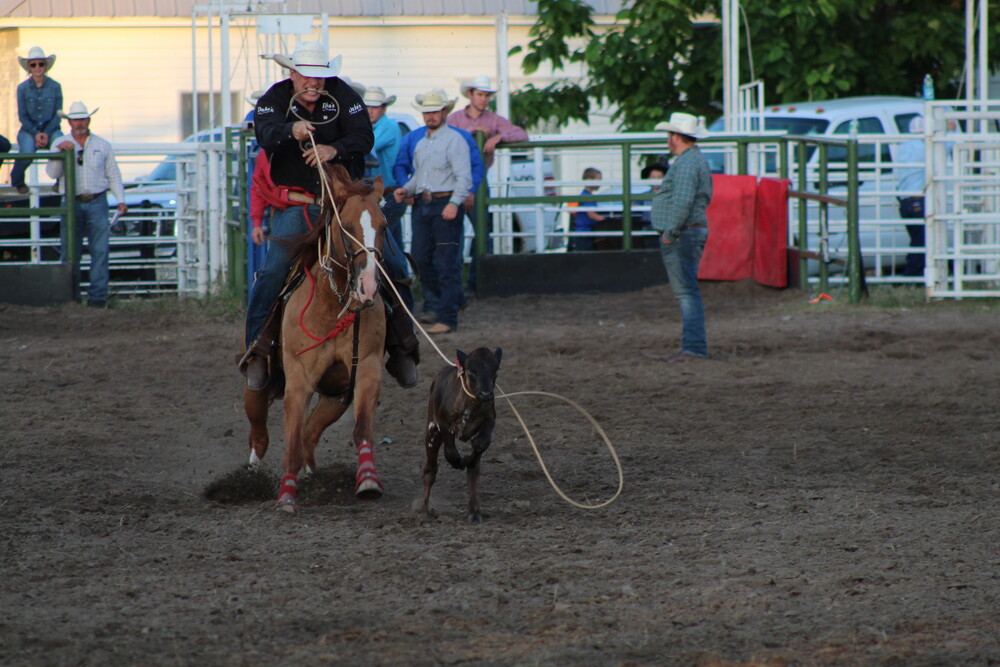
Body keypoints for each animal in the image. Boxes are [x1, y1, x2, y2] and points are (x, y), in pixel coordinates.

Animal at [244, 166, 392, 512]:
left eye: (383, 226)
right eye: (346, 226)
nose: (367, 286)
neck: (333, 304)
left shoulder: (366, 369)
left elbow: (361, 428)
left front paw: (368, 479)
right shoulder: (299, 380)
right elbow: (292, 441)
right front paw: (286, 496)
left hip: (335, 393)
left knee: (311, 433)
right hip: (265, 373)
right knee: (260, 416)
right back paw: (254, 465)